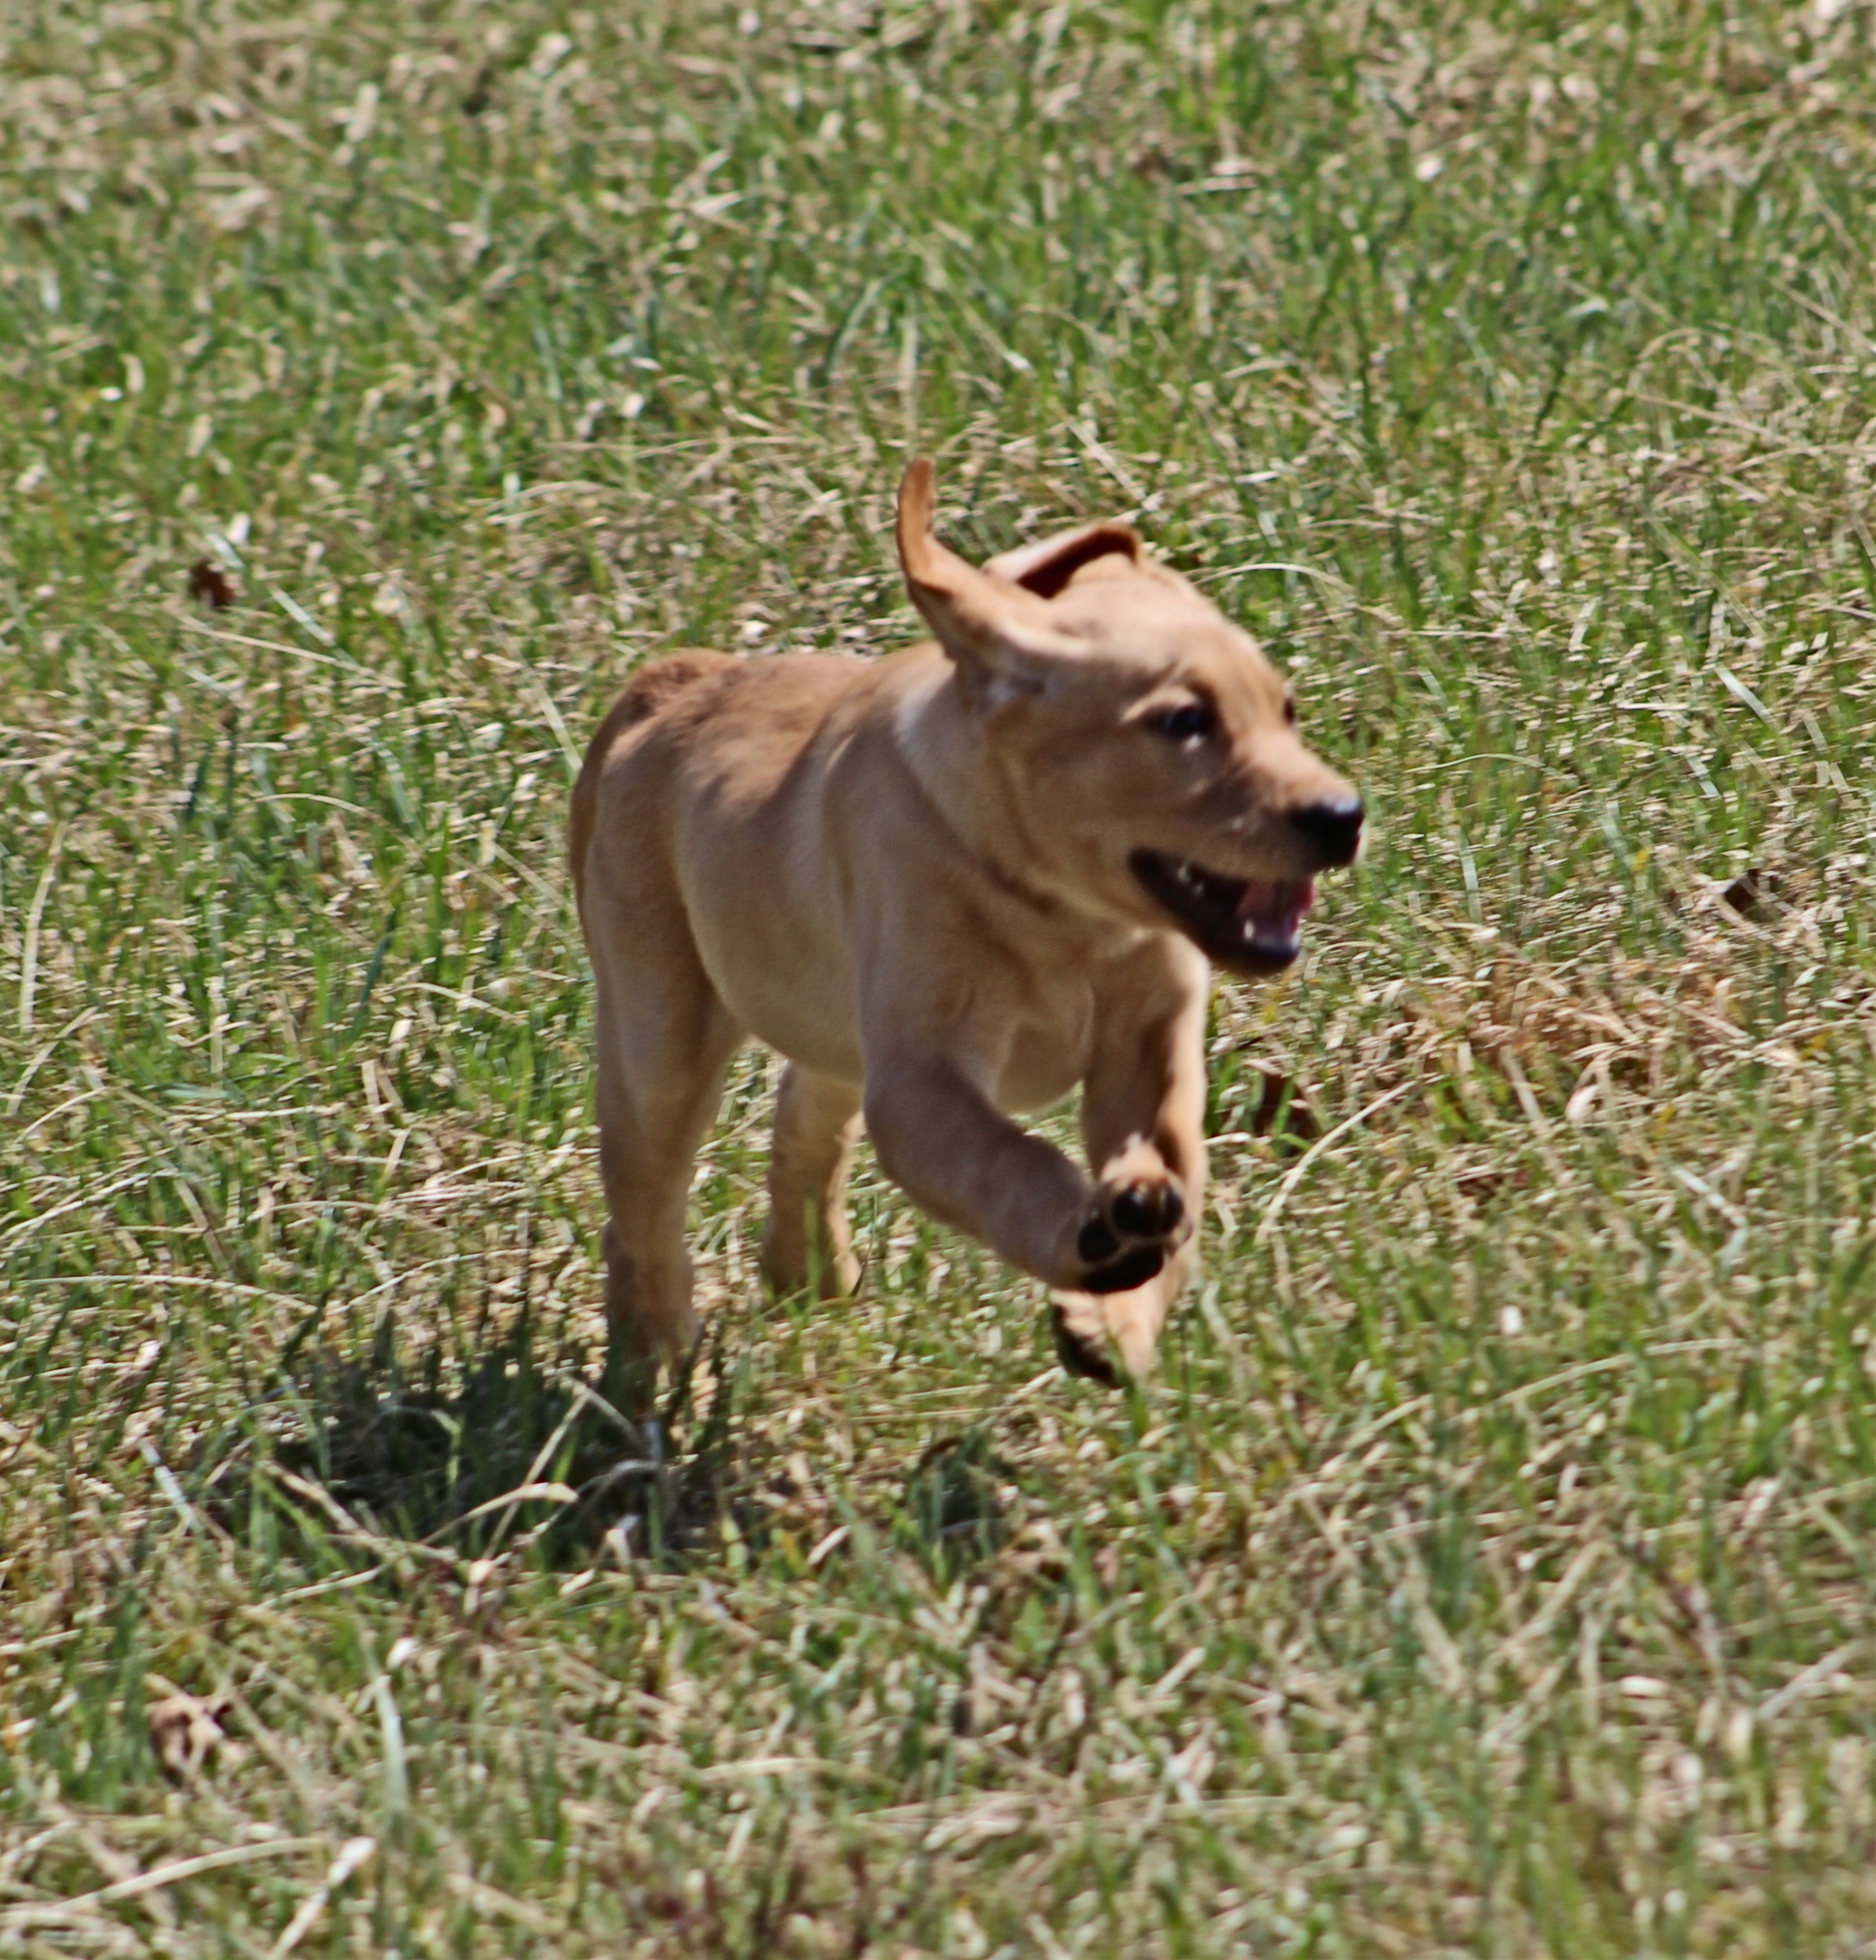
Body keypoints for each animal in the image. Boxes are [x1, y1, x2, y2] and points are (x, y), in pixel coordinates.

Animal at [572, 456, 1364, 1387]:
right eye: (1184, 722)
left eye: (1287, 711)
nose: (1342, 816)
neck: (1066, 916)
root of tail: (670, 682)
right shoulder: (923, 1080)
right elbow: (1009, 1160)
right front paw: (1096, 1237)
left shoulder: (1152, 1051)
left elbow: (1173, 1170)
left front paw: (1119, 1318)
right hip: (660, 1032)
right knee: (643, 1206)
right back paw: (654, 1359)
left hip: (832, 1024)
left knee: (804, 1110)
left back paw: (809, 1271)